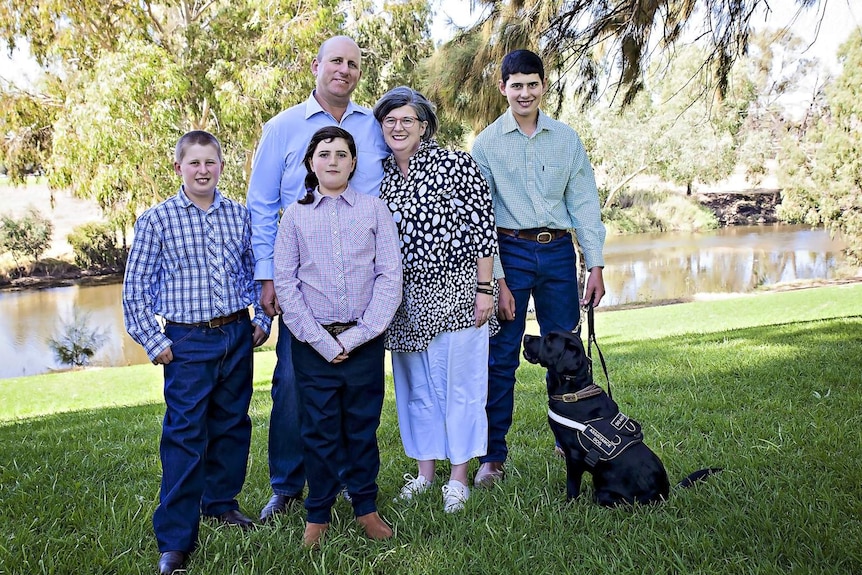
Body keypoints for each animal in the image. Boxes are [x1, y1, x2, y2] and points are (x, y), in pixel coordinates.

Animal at [524, 330, 720, 506]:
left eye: (549, 340)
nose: (525, 337)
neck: (575, 393)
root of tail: (666, 493)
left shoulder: (574, 457)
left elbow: (572, 487)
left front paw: (568, 506)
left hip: (604, 494)